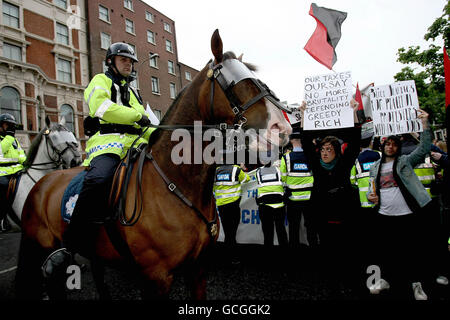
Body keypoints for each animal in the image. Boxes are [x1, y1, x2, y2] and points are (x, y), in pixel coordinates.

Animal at [15, 28, 292, 298]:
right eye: (234, 83)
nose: (282, 128)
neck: (175, 181)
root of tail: (43, 182)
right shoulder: (157, 278)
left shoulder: (198, 269)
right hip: (37, 247)